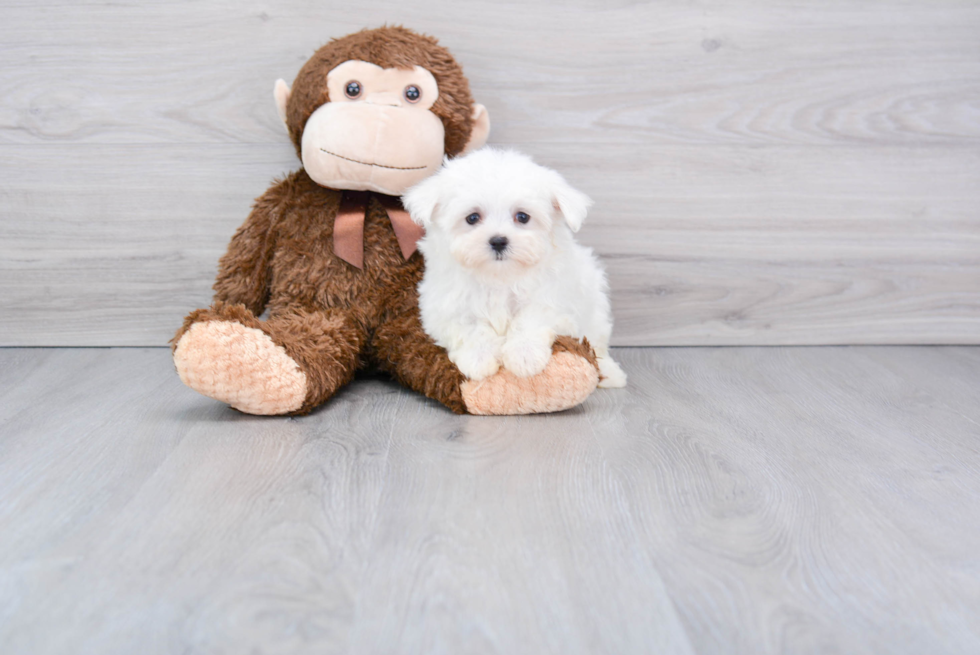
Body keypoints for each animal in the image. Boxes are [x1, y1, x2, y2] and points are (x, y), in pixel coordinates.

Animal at [400, 149, 624, 390]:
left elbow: (529, 319)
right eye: (472, 218)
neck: (500, 275)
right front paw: (479, 359)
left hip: (595, 309)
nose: (498, 241)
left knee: (597, 344)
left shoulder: (553, 297)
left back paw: (610, 373)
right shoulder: (446, 307)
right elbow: (471, 328)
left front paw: (525, 355)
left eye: (523, 217)